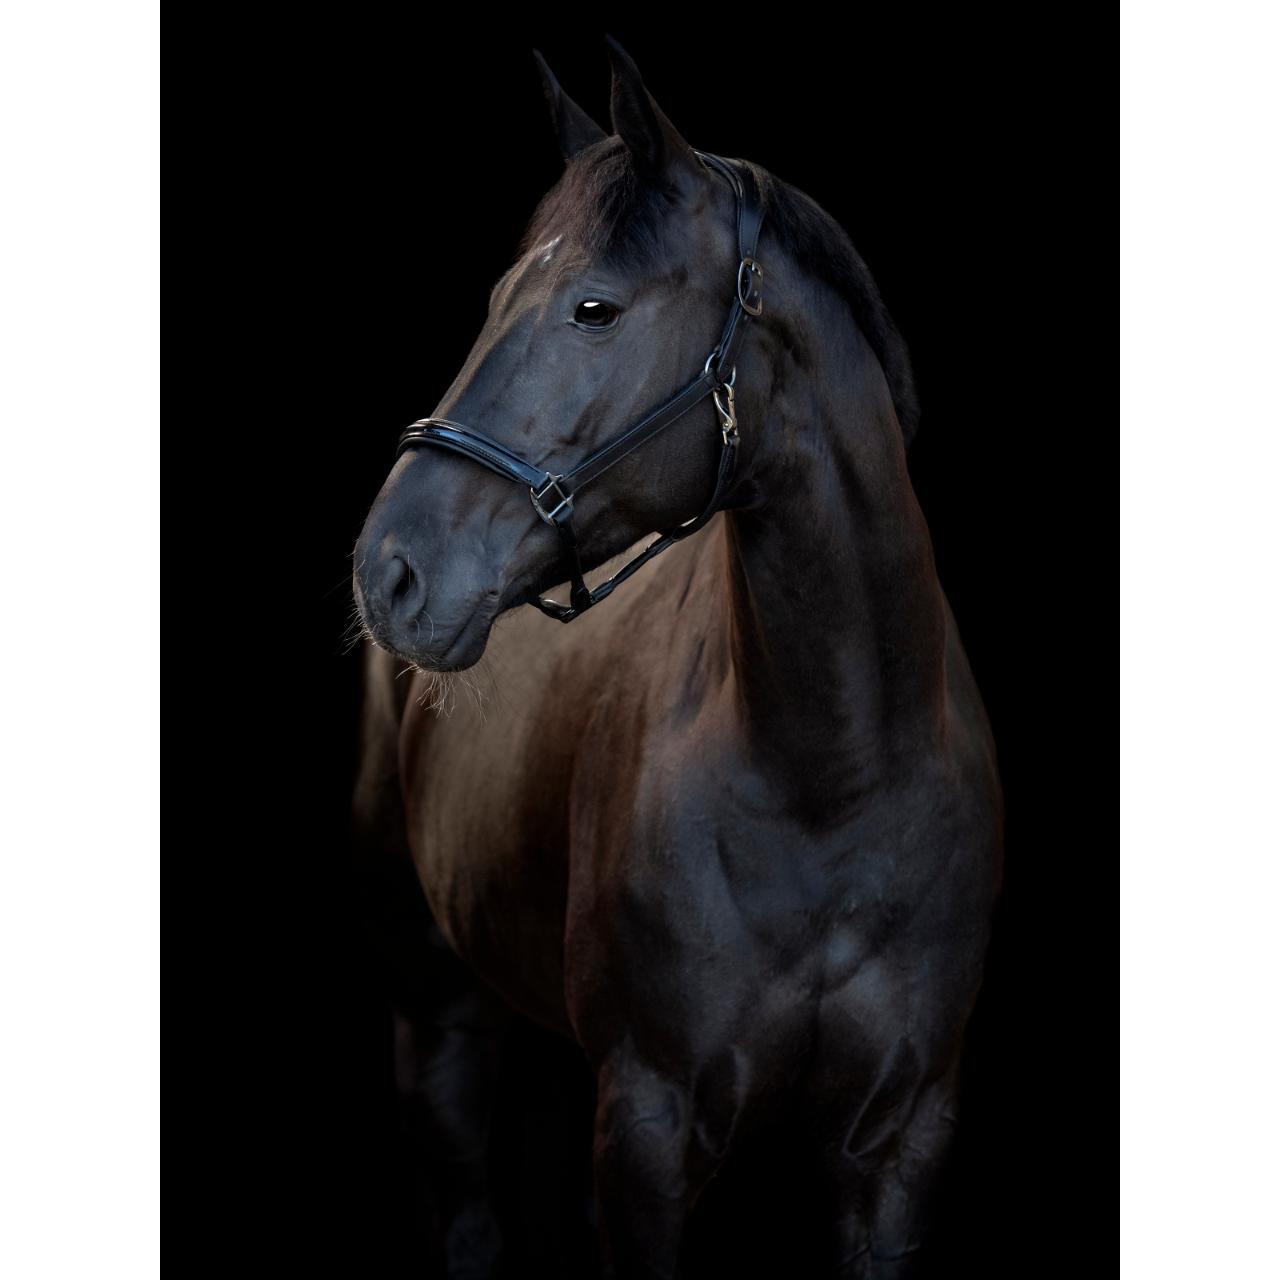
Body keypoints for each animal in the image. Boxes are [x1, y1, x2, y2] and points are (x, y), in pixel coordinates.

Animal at [350, 38, 1002, 1279]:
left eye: (592, 307)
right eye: (493, 299)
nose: (388, 570)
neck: (830, 777)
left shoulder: (903, 1142)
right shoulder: (648, 1128)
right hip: (432, 998)